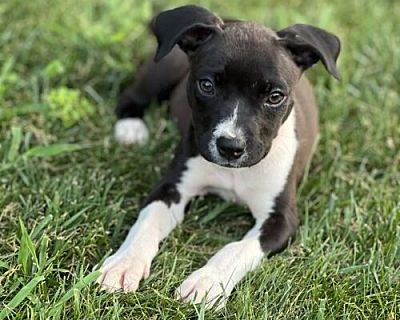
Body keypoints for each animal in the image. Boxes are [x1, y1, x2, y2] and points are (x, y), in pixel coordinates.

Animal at [98, 4, 340, 310]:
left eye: (275, 97)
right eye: (206, 85)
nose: (230, 146)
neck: (235, 172)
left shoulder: (280, 218)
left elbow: (237, 249)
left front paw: (207, 281)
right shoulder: (172, 188)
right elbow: (146, 222)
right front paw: (125, 263)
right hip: (164, 65)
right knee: (132, 95)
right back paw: (131, 128)